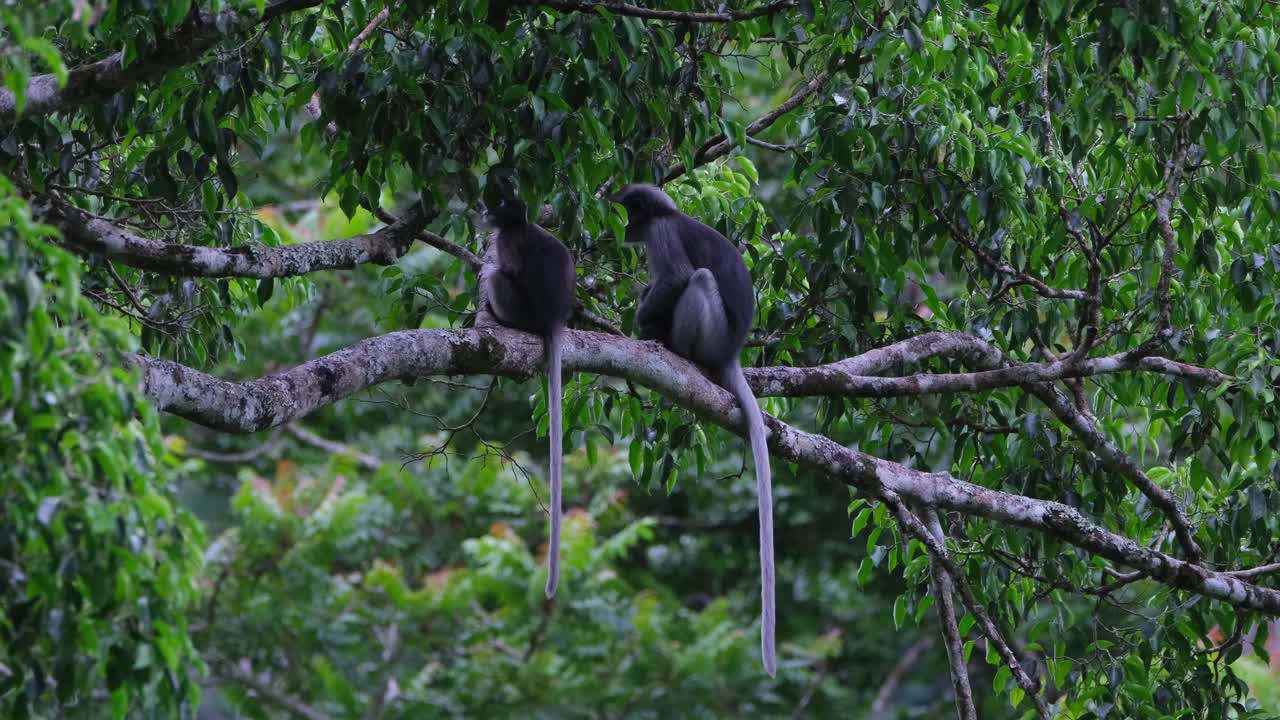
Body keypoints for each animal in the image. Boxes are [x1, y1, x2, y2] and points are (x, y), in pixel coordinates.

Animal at [610, 183, 776, 677]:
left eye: (629, 211)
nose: (624, 228)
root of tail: (732, 351)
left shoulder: (661, 235)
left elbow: (675, 279)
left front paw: (645, 323)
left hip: (712, 333)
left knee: (698, 279)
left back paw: (675, 348)